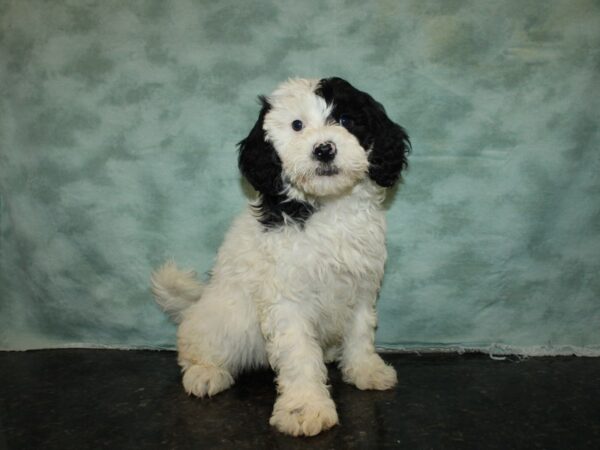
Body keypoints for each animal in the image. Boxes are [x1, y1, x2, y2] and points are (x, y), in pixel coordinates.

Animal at [152, 77, 410, 436]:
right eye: (297, 126)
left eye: (346, 120)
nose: (324, 149)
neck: (327, 207)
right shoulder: (287, 297)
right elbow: (299, 353)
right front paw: (305, 408)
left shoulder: (360, 284)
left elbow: (360, 331)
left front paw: (365, 370)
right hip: (225, 320)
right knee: (197, 342)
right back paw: (205, 372)